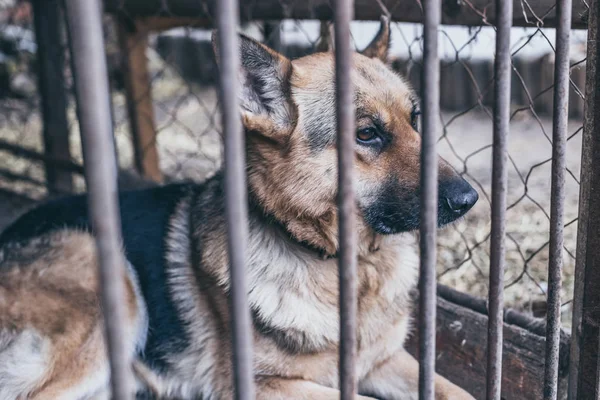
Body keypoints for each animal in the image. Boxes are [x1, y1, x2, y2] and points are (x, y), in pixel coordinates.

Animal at [0, 18, 478, 400]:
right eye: (366, 134)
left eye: (415, 120)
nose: (469, 199)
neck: (347, 266)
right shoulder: (262, 384)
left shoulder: (386, 361)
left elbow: (459, 391)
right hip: (106, 280)